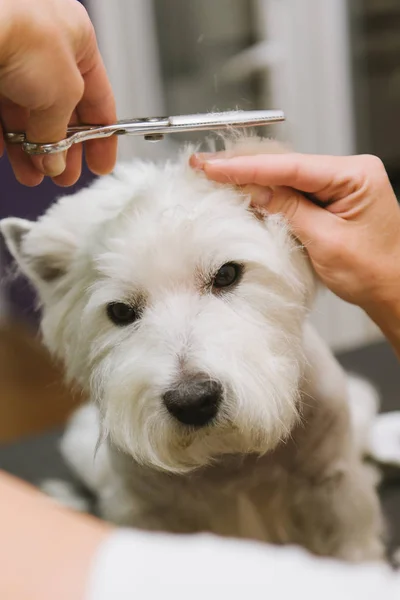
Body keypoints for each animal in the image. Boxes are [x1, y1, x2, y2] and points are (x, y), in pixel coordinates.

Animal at [0, 136, 388, 564]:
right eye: (119, 311)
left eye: (227, 274)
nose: (193, 401)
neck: (229, 459)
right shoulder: (150, 515)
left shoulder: (332, 487)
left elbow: (351, 548)